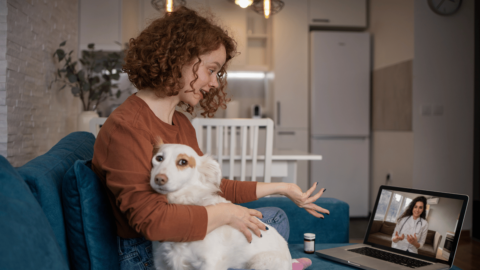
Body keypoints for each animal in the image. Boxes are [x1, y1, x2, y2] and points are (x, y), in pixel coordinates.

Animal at [150, 139, 292, 270]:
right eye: (159, 158)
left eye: (183, 162)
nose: (159, 179)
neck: (184, 203)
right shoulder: (160, 260)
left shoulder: (210, 263)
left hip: (259, 262)